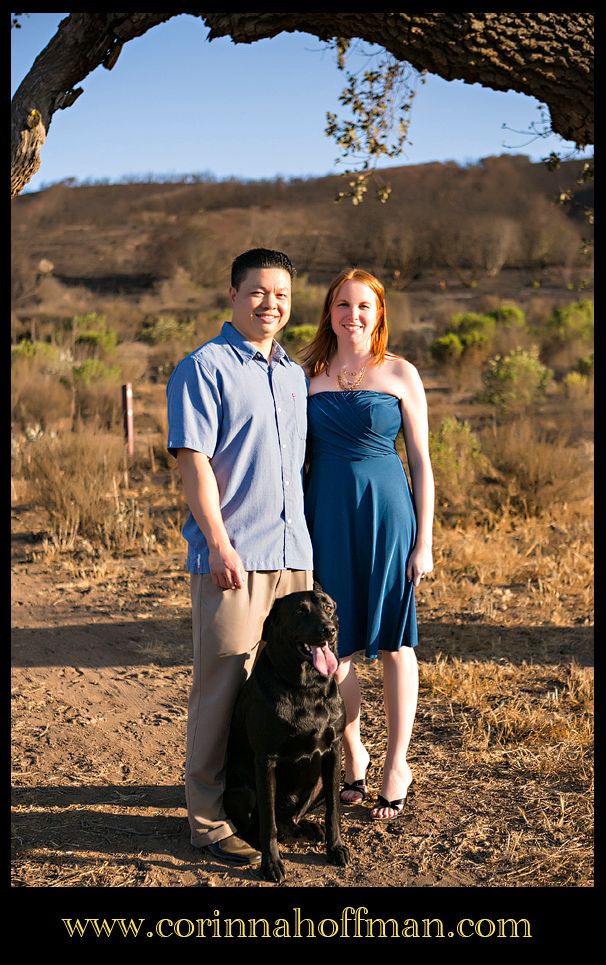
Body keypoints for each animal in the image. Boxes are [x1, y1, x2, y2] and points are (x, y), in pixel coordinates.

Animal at [223, 580, 350, 880]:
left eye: (328, 607)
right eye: (300, 611)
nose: (329, 629)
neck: (306, 689)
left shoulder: (334, 750)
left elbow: (334, 811)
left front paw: (335, 847)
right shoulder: (265, 759)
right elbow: (267, 822)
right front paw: (271, 864)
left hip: (321, 783)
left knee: (291, 819)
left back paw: (308, 828)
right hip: (242, 791)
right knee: (262, 823)